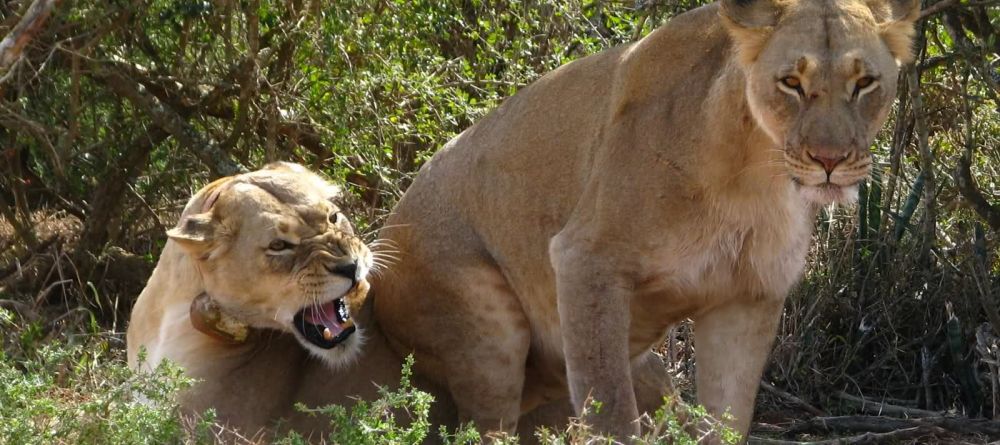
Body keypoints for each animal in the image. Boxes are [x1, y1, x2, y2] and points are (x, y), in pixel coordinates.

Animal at [371, 0, 920, 439]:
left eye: (864, 83)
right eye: (791, 83)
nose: (829, 160)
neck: (754, 176)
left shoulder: (749, 295)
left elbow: (726, 421)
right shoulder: (585, 259)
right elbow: (611, 415)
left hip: (647, 370)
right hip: (488, 336)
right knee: (483, 428)